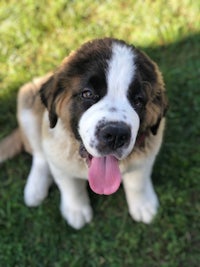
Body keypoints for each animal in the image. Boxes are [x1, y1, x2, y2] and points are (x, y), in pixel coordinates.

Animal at [0, 38, 167, 230]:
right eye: (87, 94)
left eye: (138, 101)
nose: (116, 135)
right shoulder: (58, 159)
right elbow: (71, 187)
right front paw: (76, 210)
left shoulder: (145, 156)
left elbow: (138, 182)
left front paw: (143, 205)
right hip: (28, 101)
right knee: (40, 155)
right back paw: (35, 189)